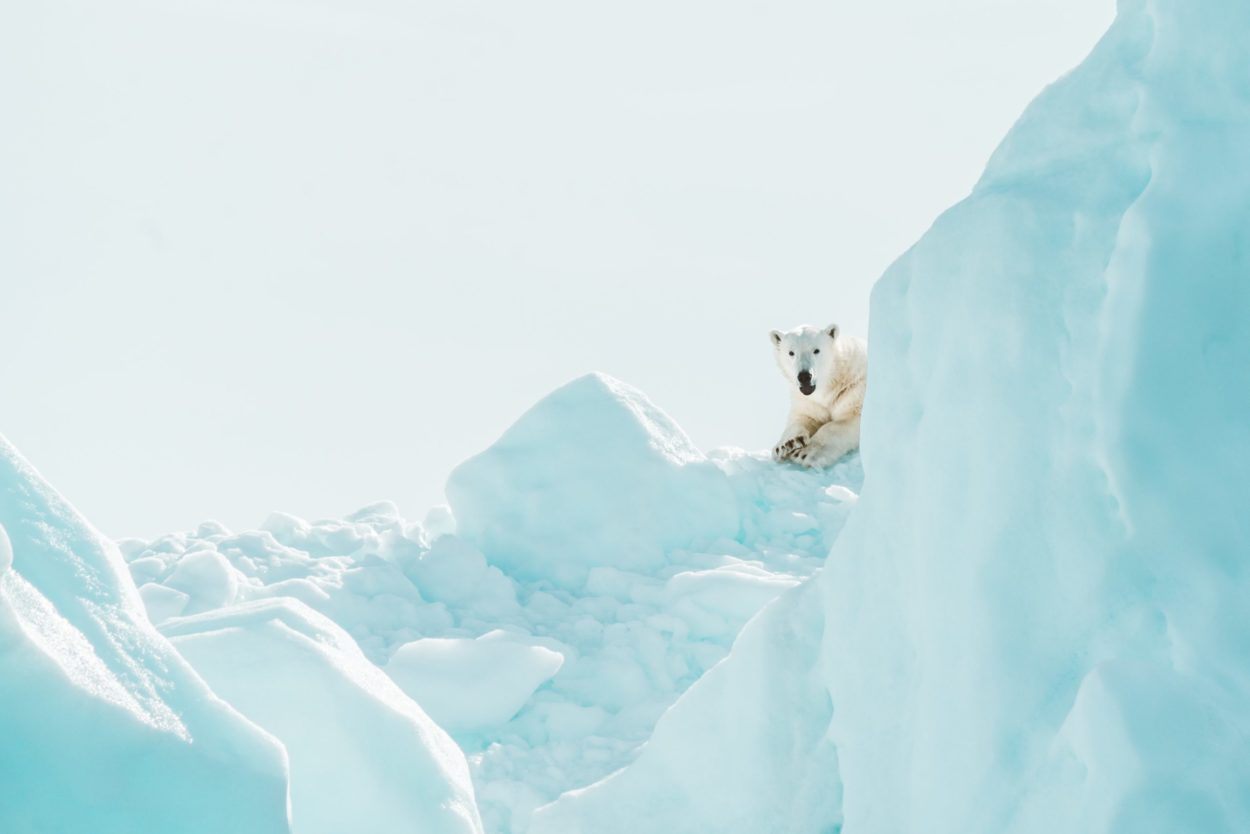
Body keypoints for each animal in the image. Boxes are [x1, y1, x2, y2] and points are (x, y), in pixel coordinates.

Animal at [769, 323, 867, 467]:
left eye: (816, 350)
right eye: (791, 352)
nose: (804, 376)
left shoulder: (854, 388)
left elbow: (846, 420)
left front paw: (806, 453)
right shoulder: (809, 401)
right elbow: (805, 416)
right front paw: (787, 444)